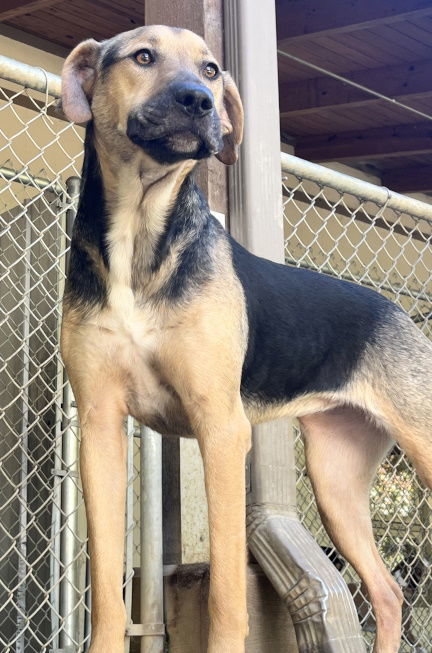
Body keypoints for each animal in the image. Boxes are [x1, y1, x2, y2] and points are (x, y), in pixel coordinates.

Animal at [60, 24, 432, 652]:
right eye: (142, 56)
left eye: (211, 69)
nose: (199, 102)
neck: (140, 233)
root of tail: (397, 310)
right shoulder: (100, 427)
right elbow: (107, 592)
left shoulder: (222, 428)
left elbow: (228, 594)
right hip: (335, 481)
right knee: (385, 589)